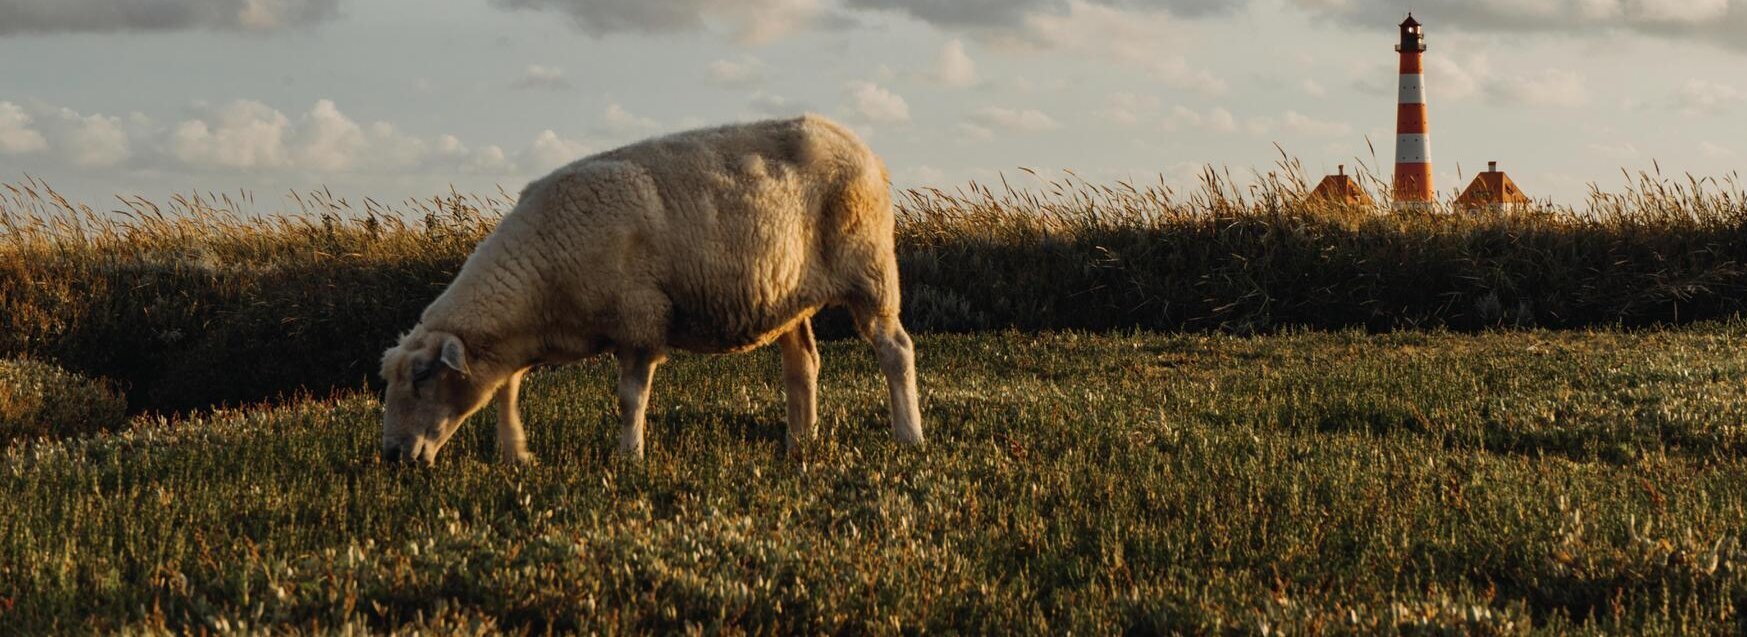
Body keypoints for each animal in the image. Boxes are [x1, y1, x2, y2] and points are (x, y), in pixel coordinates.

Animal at [378, 115, 923, 465]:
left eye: (423, 376)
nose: (391, 456)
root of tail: (860, 146)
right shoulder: (529, 337)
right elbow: (506, 389)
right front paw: (516, 453)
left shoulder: (639, 320)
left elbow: (629, 399)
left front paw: (630, 457)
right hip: (789, 293)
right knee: (803, 363)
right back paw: (800, 444)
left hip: (870, 269)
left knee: (895, 350)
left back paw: (909, 437)